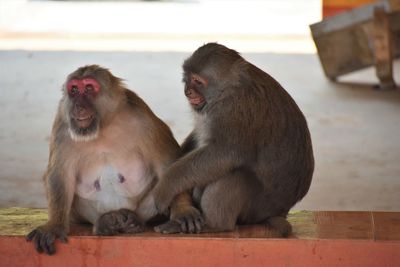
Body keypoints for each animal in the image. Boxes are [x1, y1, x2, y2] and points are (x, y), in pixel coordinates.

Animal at [26, 65, 202, 255]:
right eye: (74, 90)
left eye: (88, 88)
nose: (78, 106)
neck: (103, 126)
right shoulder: (63, 125)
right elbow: (60, 174)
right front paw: (54, 226)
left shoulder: (143, 119)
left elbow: (167, 164)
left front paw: (183, 210)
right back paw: (107, 220)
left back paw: (134, 221)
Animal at [152, 43, 314, 238]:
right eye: (188, 78)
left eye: (198, 81)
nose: (187, 91)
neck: (227, 90)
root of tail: (282, 212)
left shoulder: (233, 110)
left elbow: (224, 154)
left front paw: (166, 186)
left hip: (257, 209)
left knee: (235, 173)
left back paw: (214, 224)